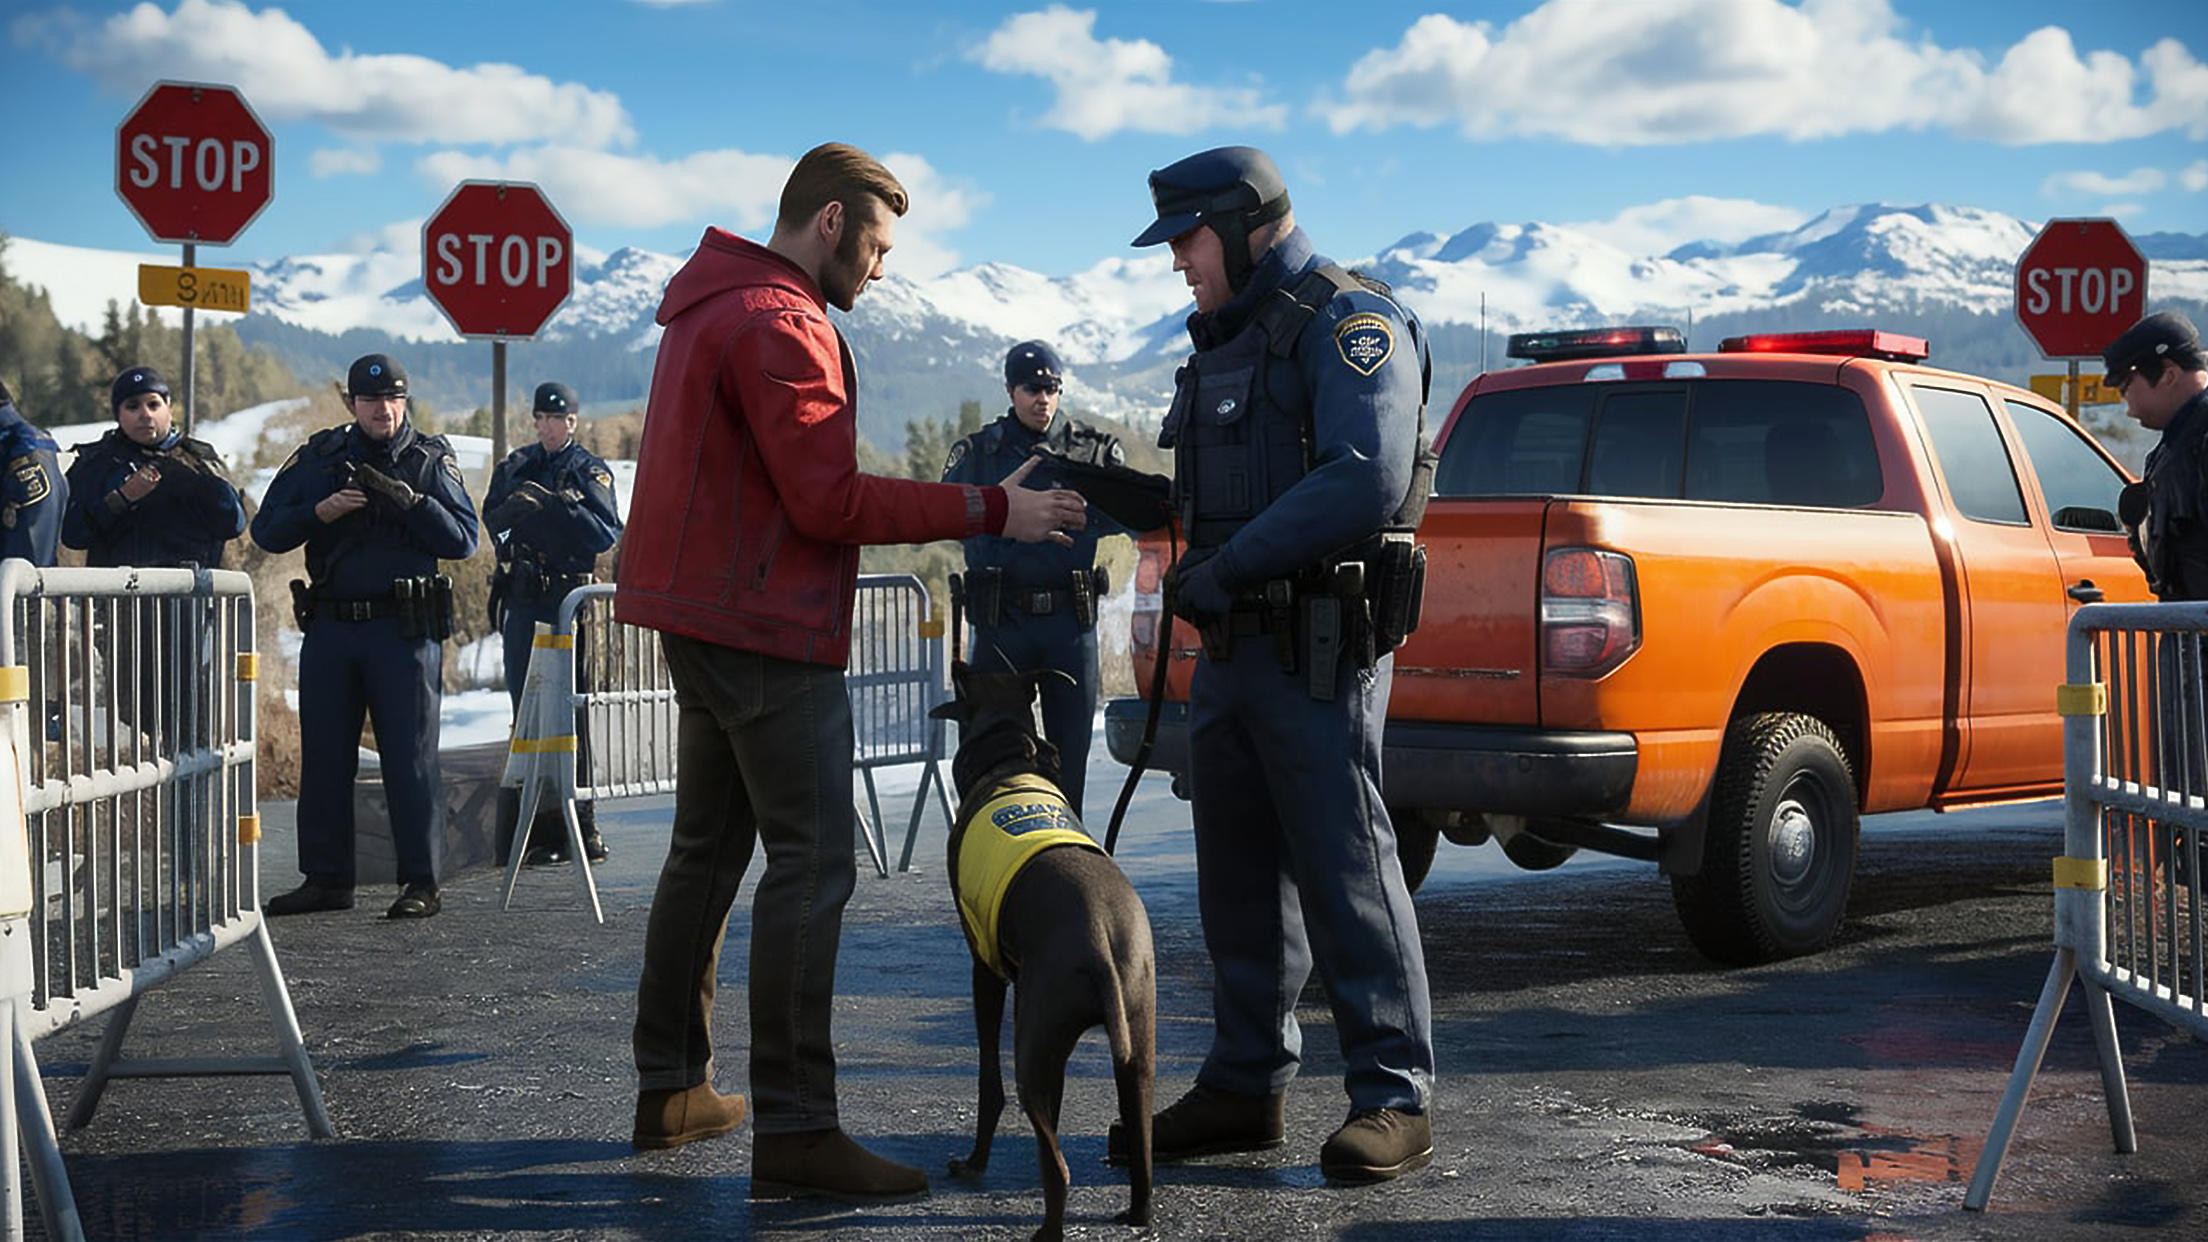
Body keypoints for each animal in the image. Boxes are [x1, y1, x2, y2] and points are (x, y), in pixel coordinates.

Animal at [927, 662, 1156, 1237]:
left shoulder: (984, 966)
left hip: (1033, 1042)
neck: (1010, 759)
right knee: (1141, 1150)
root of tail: (1100, 942)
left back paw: (1047, 1227)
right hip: (1135, 1044)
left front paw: (974, 1163)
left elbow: (989, 1081)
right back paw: (1135, 1210)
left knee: (1057, 1164)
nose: (956, 663)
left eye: (976, 673)